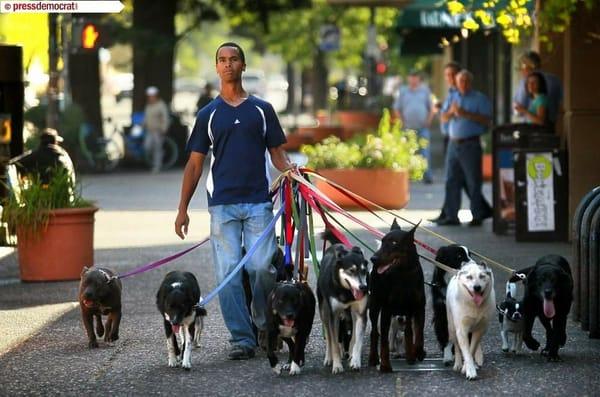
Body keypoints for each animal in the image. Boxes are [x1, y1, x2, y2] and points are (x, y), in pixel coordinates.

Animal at [316, 230, 368, 372]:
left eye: (364, 271)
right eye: (351, 271)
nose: (363, 287)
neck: (347, 292)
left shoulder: (361, 313)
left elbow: (358, 341)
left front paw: (355, 361)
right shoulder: (333, 315)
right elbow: (333, 342)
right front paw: (337, 365)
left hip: (351, 314)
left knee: (353, 335)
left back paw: (350, 354)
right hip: (325, 311)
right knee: (329, 337)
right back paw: (329, 358)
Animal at [368, 220, 424, 372]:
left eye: (394, 243)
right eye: (382, 241)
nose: (373, 258)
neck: (403, 274)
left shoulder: (418, 307)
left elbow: (417, 332)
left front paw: (417, 352)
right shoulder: (387, 310)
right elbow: (384, 340)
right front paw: (385, 365)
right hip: (375, 304)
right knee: (374, 332)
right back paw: (373, 358)